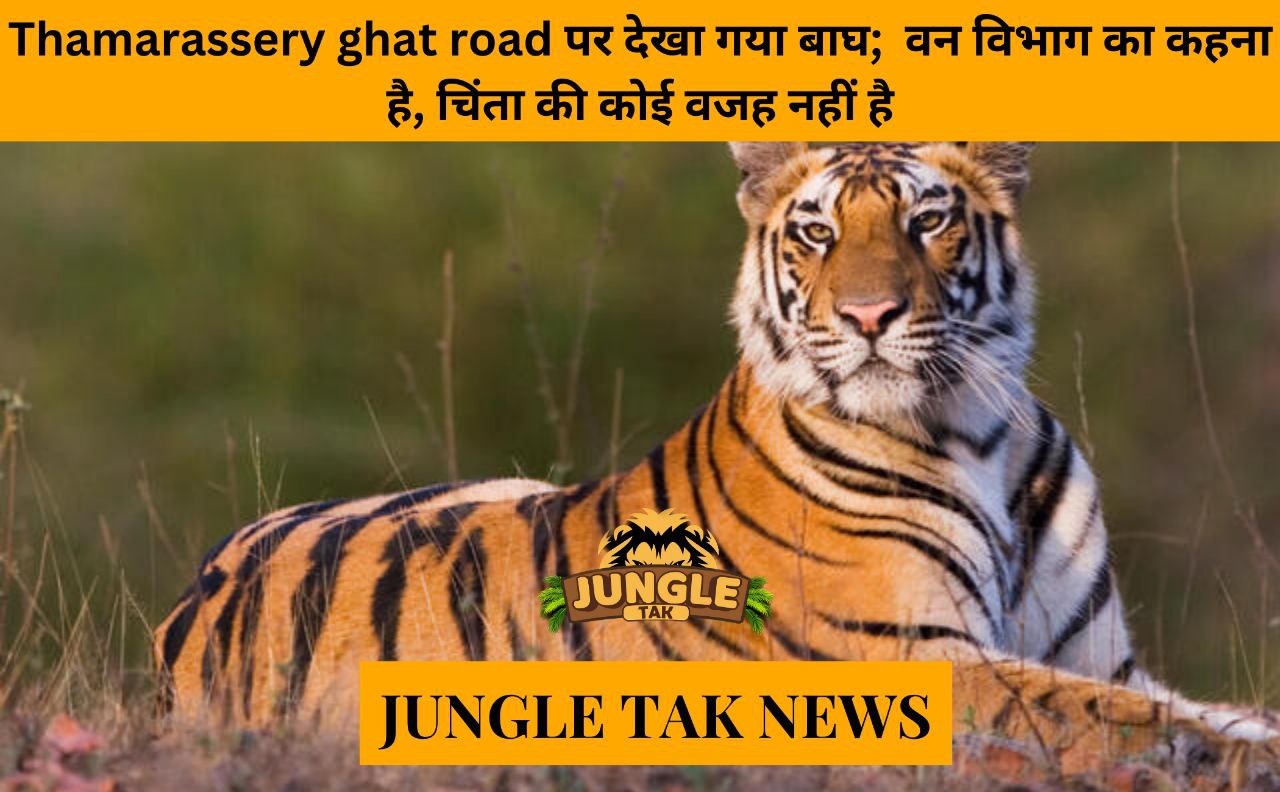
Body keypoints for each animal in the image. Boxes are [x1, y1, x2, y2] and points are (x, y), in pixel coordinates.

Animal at [155, 142, 1278, 767]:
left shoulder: (1096, 650)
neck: (976, 430)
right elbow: (1112, 715)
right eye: (816, 233)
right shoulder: (915, 660)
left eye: (929, 220)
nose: (868, 316)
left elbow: (1171, 699)